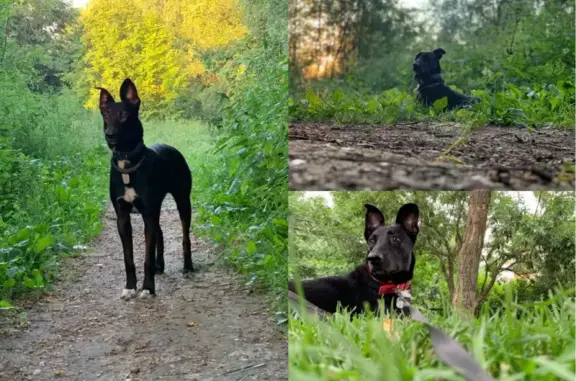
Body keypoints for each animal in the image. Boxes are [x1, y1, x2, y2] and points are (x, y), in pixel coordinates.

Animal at [99, 78, 196, 300]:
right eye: (106, 114)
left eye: (124, 115)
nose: (110, 136)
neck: (128, 163)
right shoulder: (123, 217)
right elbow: (129, 259)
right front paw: (130, 287)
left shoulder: (149, 213)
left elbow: (146, 257)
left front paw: (148, 288)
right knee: (160, 233)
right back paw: (160, 265)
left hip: (183, 202)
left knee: (185, 237)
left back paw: (188, 267)